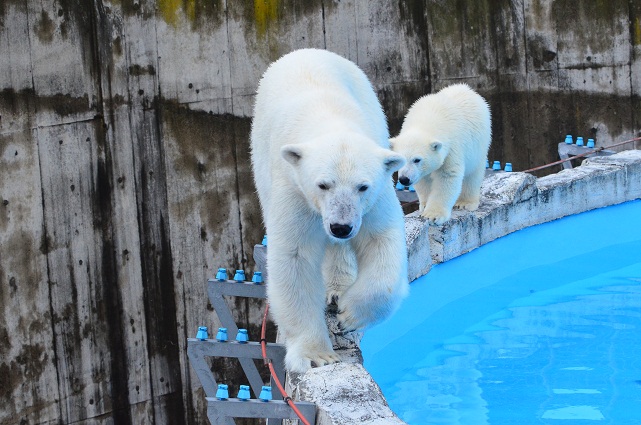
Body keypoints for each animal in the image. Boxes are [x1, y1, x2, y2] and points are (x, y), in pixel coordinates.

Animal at [248, 48, 408, 372]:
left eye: (362, 186)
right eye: (323, 185)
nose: (341, 227)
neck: (331, 120)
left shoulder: (375, 197)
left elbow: (381, 240)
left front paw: (349, 314)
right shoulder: (294, 188)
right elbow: (294, 256)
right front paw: (316, 354)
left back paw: (336, 288)